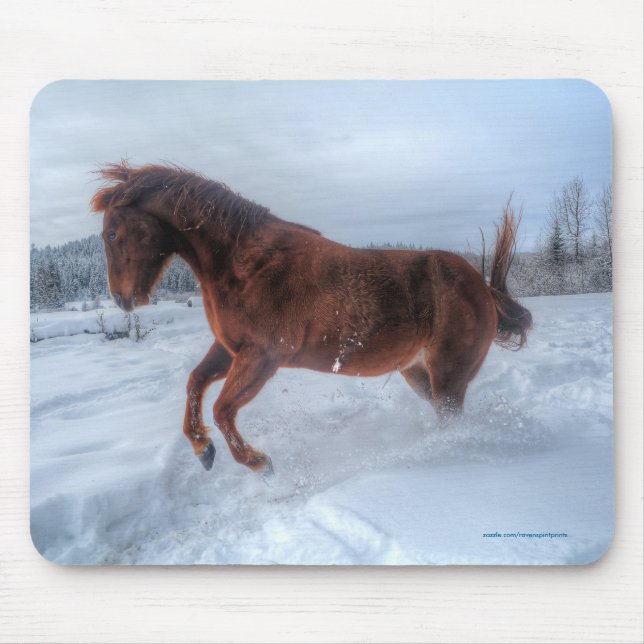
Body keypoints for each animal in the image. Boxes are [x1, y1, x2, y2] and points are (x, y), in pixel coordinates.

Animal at [91, 161, 532, 475]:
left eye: (112, 234)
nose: (123, 299)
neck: (242, 264)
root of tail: (482, 288)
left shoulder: (262, 357)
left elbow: (222, 409)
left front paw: (259, 463)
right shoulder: (231, 349)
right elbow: (195, 383)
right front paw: (203, 450)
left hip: (449, 377)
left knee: (450, 421)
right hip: (419, 373)